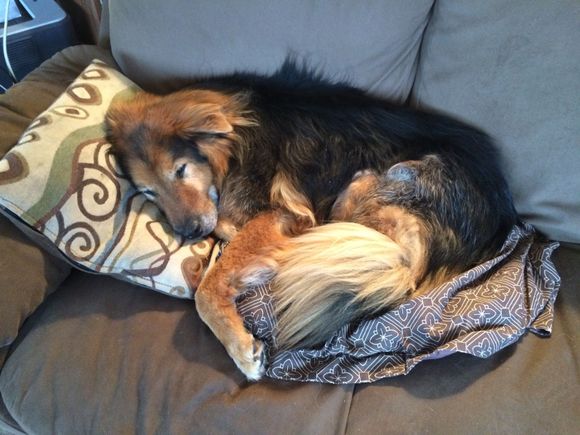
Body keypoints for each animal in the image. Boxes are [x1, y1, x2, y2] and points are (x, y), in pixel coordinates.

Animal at [104, 62, 516, 382]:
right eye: (148, 192)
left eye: (180, 170)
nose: (189, 232)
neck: (233, 142)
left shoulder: (277, 213)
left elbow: (208, 288)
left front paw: (242, 349)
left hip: (383, 181)